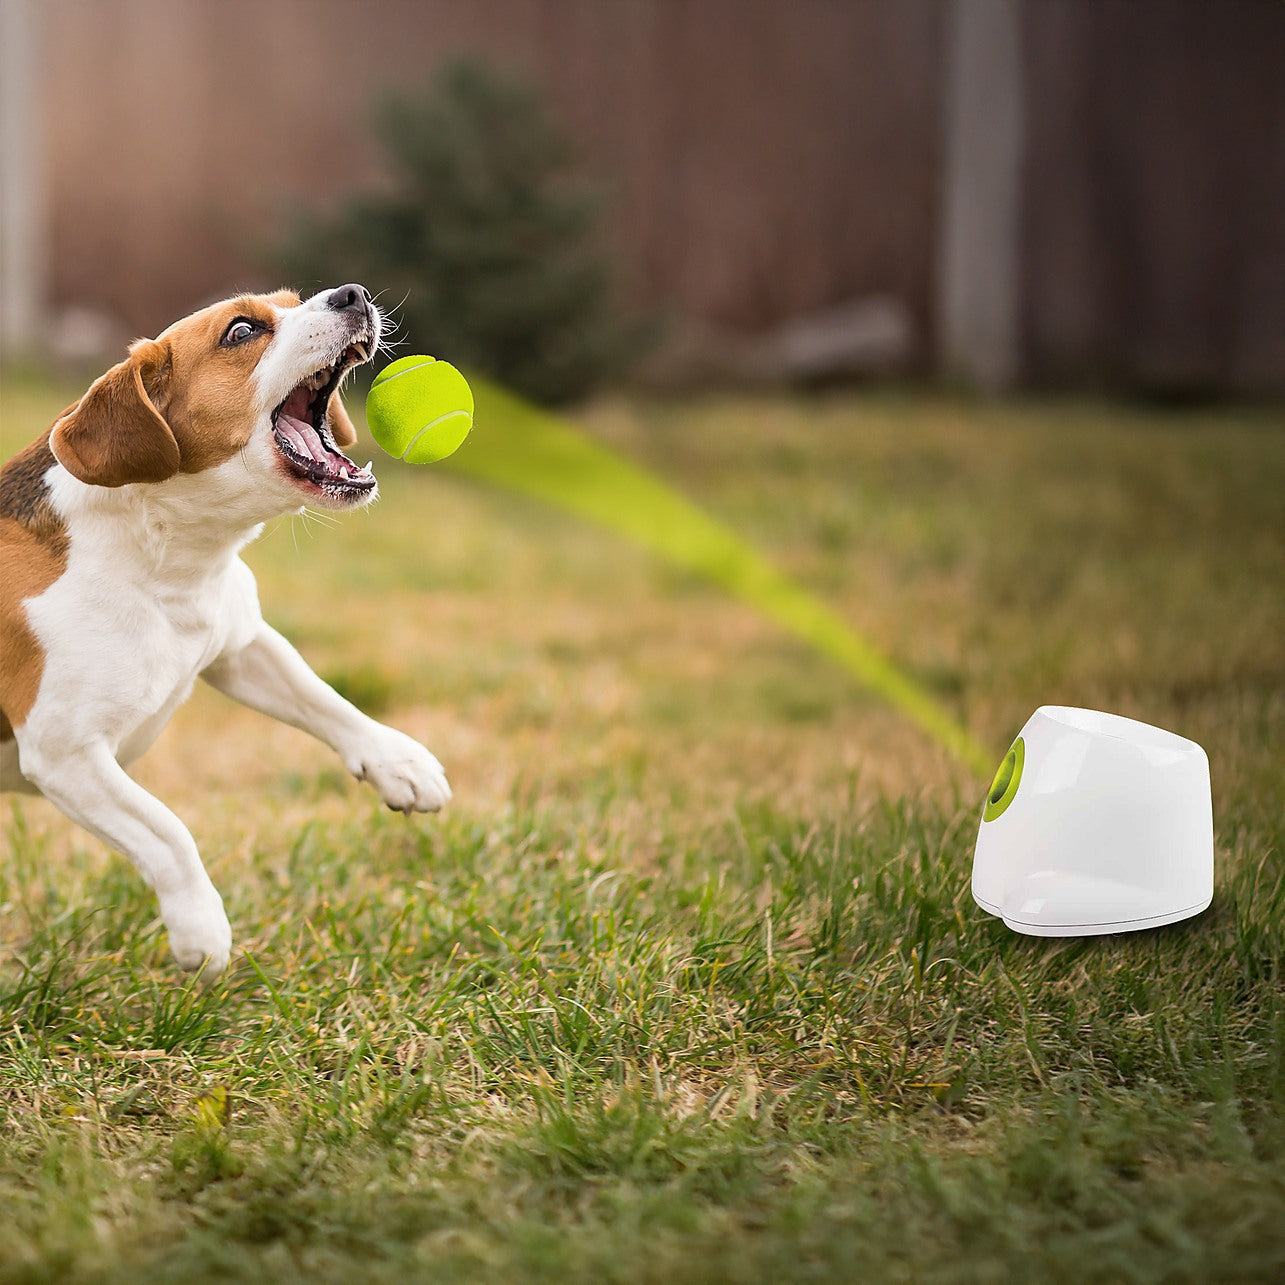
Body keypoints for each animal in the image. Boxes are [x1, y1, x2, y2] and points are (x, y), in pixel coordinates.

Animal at [1, 286, 452, 976]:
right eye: (242, 331)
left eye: (293, 301)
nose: (352, 294)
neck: (166, 557)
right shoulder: (65, 755)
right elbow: (166, 830)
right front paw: (201, 929)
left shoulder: (240, 644)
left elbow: (326, 700)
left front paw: (398, 761)